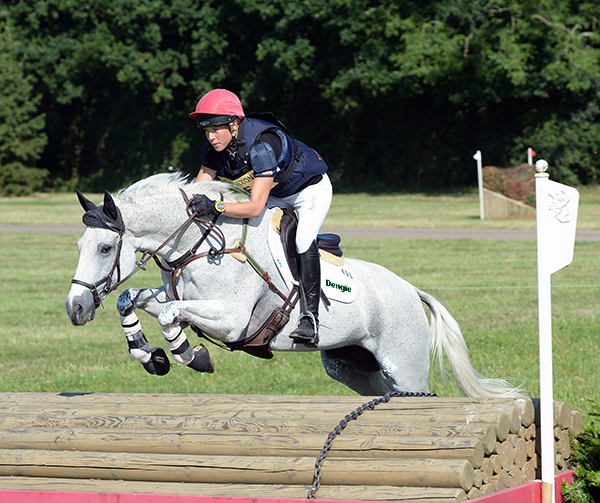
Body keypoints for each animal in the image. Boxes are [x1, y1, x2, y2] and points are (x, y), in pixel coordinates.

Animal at [65, 172, 524, 398]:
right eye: (79, 245)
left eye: (105, 247)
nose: (76, 308)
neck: (201, 244)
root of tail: (411, 290)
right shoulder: (175, 295)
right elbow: (131, 299)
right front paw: (150, 356)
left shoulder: (232, 319)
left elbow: (170, 315)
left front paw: (190, 355)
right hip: (352, 367)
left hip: (404, 366)